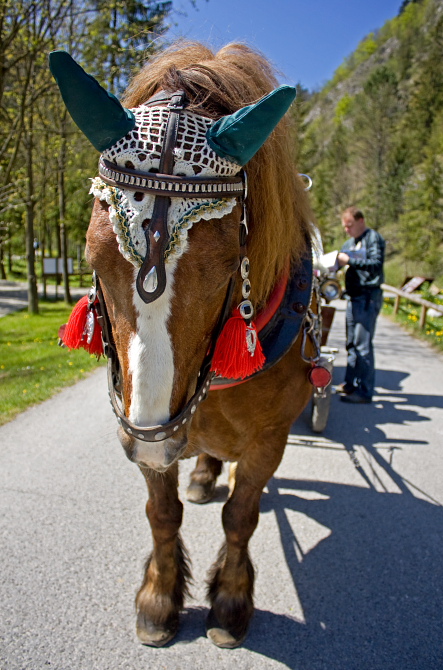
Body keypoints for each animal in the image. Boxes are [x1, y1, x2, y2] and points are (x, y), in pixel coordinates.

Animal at [51, 42, 322, 652]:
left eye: (226, 262)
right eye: (93, 254)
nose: (151, 437)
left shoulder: (270, 436)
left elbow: (242, 515)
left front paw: (230, 600)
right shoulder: (145, 426)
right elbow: (162, 512)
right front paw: (159, 598)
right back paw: (202, 474)